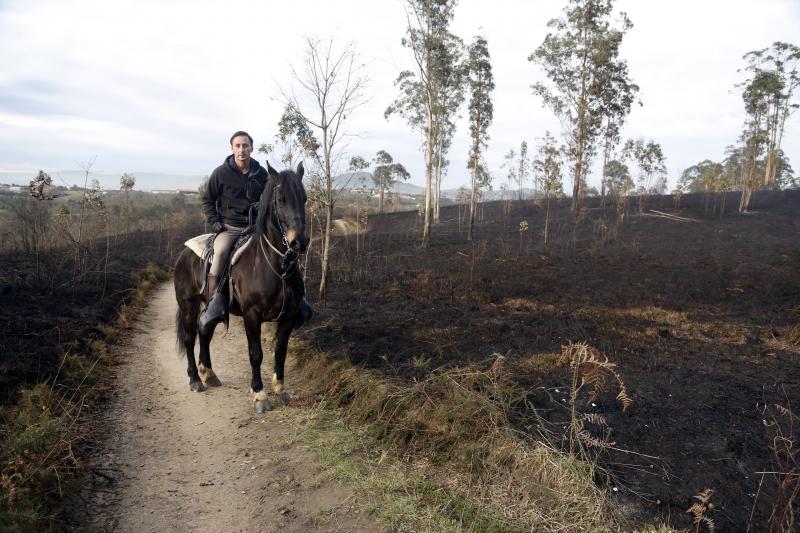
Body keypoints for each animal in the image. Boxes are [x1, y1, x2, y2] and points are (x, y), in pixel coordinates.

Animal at [174, 162, 310, 412]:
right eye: (280, 200)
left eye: (304, 198)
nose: (299, 242)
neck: (274, 265)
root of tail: (184, 253)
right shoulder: (252, 315)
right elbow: (256, 353)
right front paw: (259, 394)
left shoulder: (288, 317)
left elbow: (280, 352)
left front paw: (280, 390)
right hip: (188, 304)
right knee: (189, 337)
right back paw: (195, 380)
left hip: (210, 308)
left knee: (204, 331)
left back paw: (209, 373)